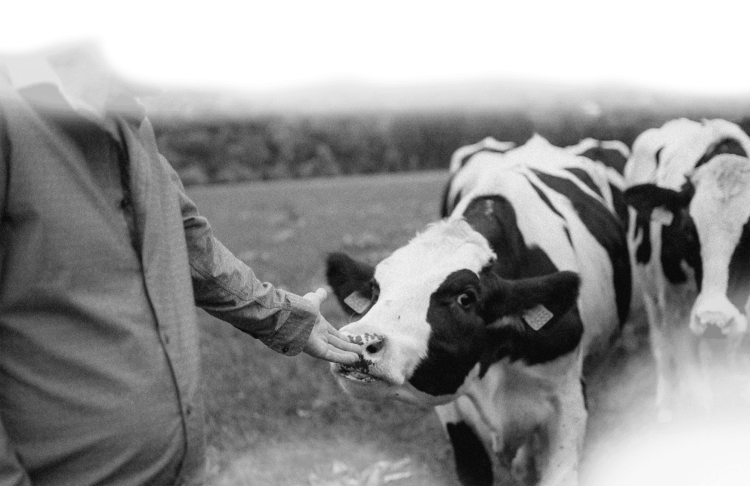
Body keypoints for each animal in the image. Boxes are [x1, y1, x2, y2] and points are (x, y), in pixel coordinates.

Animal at [624, 117, 750, 422]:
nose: (714, 318)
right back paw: (666, 408)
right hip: (653, 301)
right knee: (660, 346)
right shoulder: (679, 317)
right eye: (687, 231)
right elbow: (700, 393)